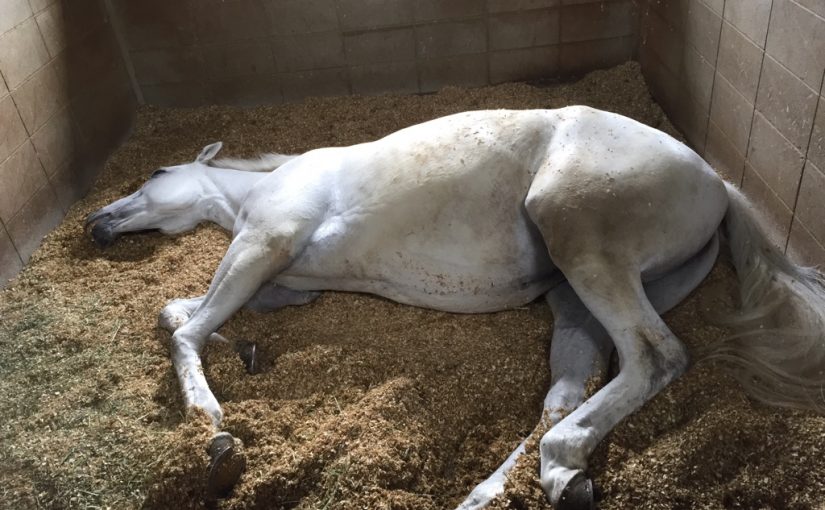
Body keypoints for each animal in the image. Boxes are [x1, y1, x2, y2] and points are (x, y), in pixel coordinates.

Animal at [86, 106, 825, 509]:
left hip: (581, 240)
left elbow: (183, 330)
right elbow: (181, 313)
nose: (95, 224)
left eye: (156, 174)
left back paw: (555, 463)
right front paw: (240, 350)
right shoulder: (279, 279)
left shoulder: (263, 245)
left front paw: (213, 433)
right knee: (570, 390)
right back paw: (527, 484)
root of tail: (716, 185)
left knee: (653, 356)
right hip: (575, 300)